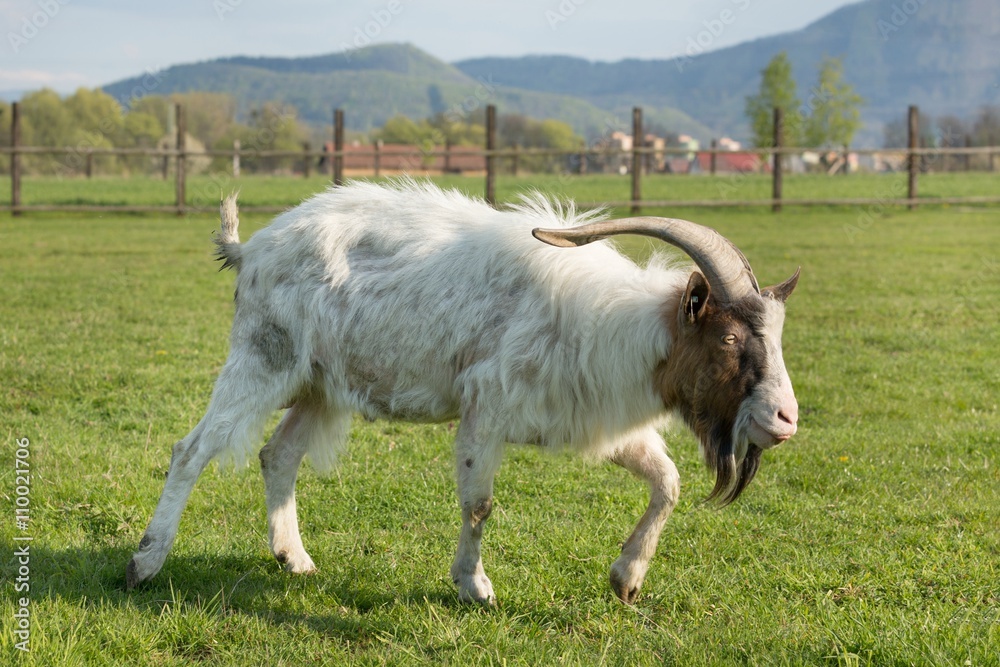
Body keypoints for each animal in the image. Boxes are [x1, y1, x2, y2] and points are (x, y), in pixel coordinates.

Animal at [126, 179, 799, 604]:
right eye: (732, 340)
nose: (785, 420)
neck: (609, 322)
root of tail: (251, 249)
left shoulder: (582, 417)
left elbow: (667, 482)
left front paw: (626, 580)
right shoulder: (486, 410)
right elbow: (480, 504)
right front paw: (475, 588)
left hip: (320, 385)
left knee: (279, 454)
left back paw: (295, 559)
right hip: (264, 360)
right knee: (192, 449)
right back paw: (145, 563)